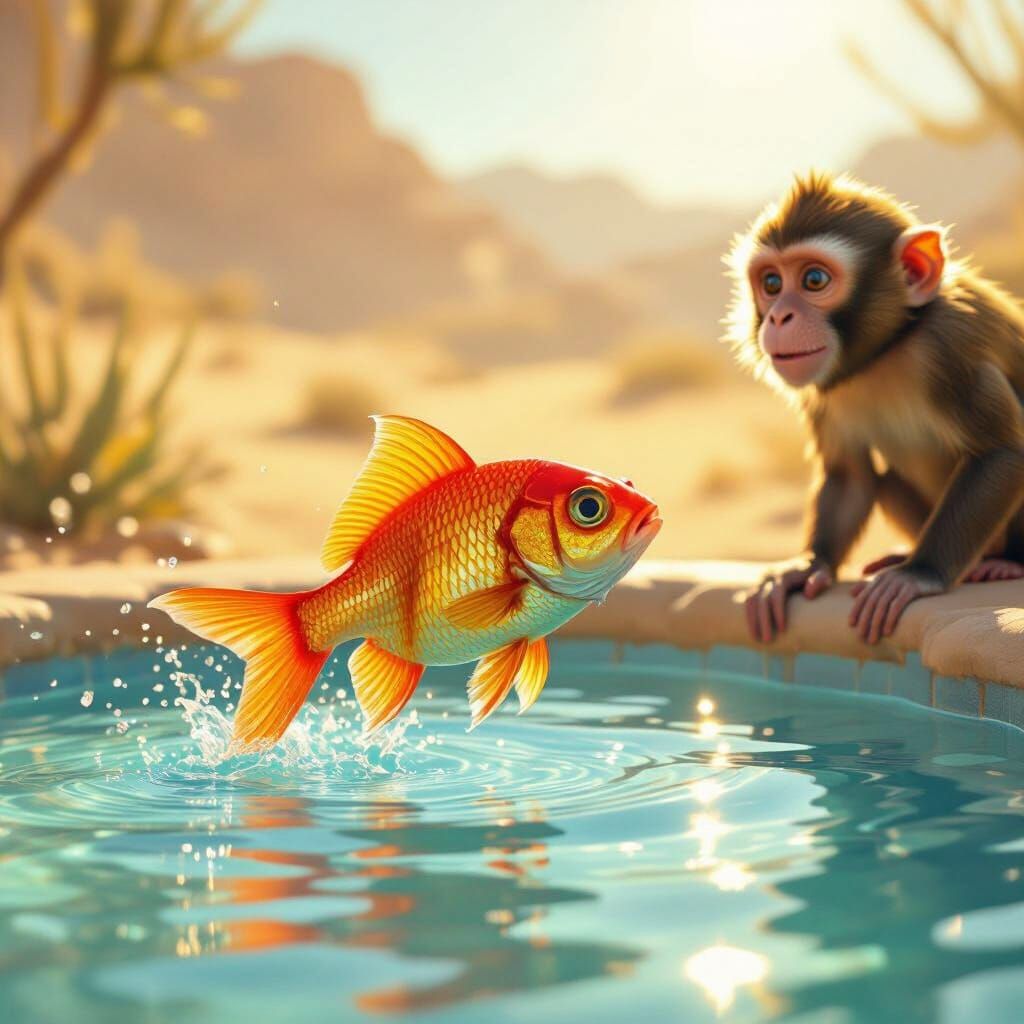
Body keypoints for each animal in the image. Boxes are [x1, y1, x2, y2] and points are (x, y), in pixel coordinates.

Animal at [725, 172, 1024, 645]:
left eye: (813, 279)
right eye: (771, 284)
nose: (778, 318)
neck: (888, 350)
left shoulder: (949, 345)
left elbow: (1000, 453)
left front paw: (918, 574)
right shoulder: (823, 392)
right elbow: (850, 476)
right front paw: (808, 567)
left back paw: (1004, 562)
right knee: (885, 479)